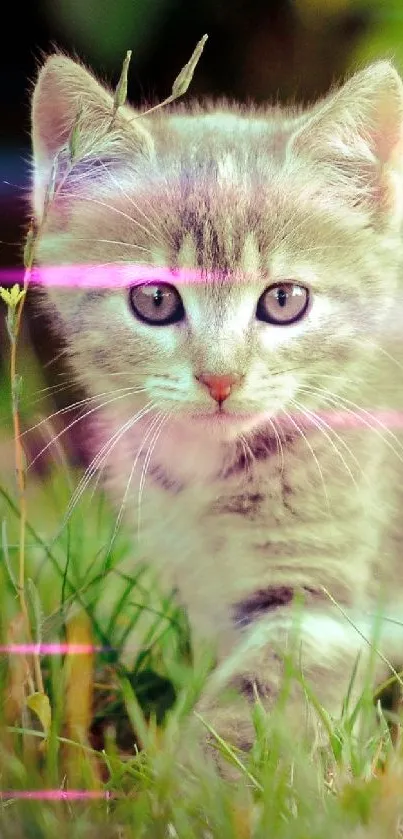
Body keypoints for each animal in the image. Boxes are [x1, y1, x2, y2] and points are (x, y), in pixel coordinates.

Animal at [30, 55, 403, 752]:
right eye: (155, 299)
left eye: (284, 300)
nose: (221, 379)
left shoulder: (324, 601)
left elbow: (255, 710)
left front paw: (194, 778)